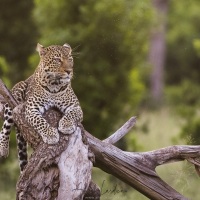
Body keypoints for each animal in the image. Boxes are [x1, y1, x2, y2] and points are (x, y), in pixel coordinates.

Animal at [0, 43, 83, 172]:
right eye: (57, 60)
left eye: (70, 59)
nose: (69, 71)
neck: (55, 85)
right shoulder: (31, 109)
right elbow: (40, 122)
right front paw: (51, 135)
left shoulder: (75, 107)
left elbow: (71, 115)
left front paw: (66, 125)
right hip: (18, 89)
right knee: (5, 126)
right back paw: (3, 148)